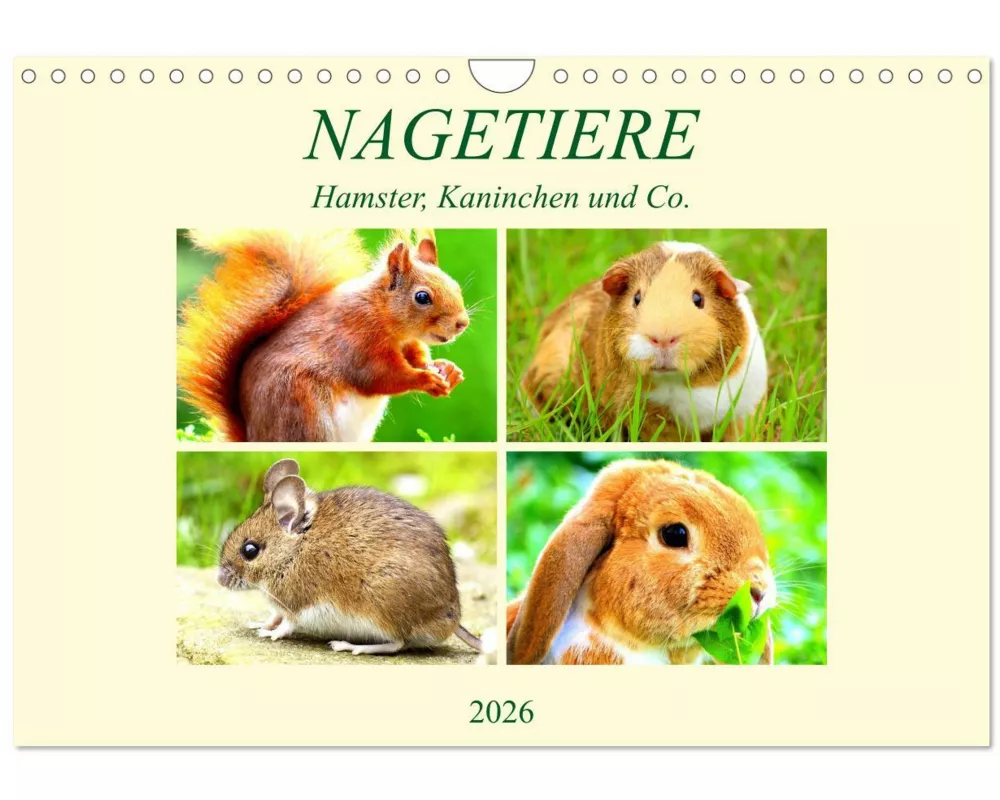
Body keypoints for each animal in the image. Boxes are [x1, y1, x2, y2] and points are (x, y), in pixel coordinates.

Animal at [217, 458, 483, 655]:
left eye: (250, 550)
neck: (293, 550)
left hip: (380, 608)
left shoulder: (298, 603)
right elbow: (274, 615)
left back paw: (349, 646)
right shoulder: (280, 604)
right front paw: (259, 624)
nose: (219, 580)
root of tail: (452, 619)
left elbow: (286, 624)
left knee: (396, 644)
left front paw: (269, 633)